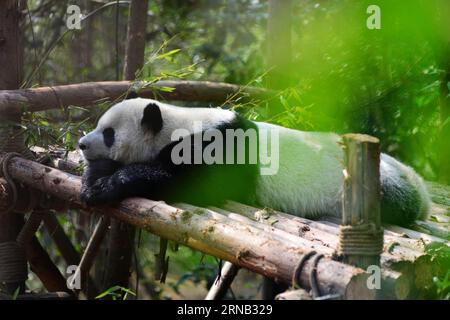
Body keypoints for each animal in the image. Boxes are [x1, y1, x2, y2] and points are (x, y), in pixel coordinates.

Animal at [79, 97, 430, 225]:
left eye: (108, 133)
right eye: (98, 126)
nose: (82, 143)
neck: (176, 125)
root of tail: (423, 195)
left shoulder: (218, 148)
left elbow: (187, 184)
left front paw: (106, 186)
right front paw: (92, 178)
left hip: (374, 187)